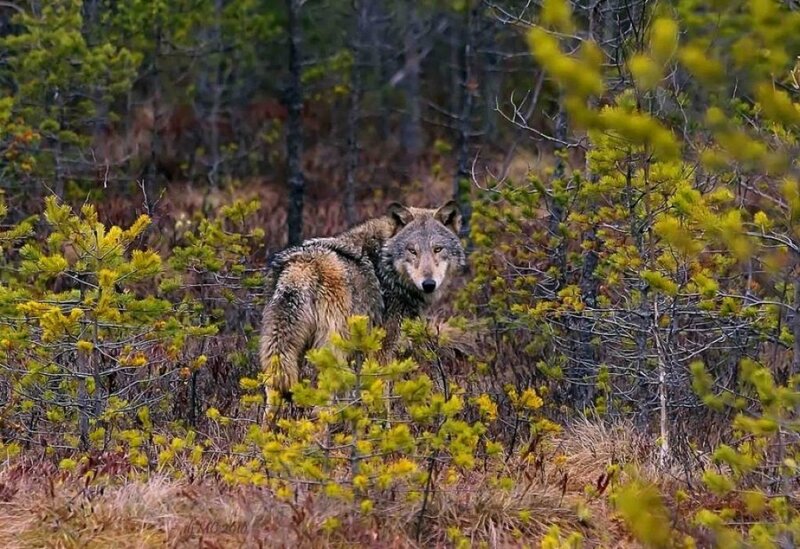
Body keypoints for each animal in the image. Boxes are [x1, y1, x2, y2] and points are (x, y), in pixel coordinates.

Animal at [259, 200, 466, 410]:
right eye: (412, 250)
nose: (429, 284)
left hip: (284, 356)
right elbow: (382, 398)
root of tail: (302, 268)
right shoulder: (382, 350)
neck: (385, 265)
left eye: (438, 249)